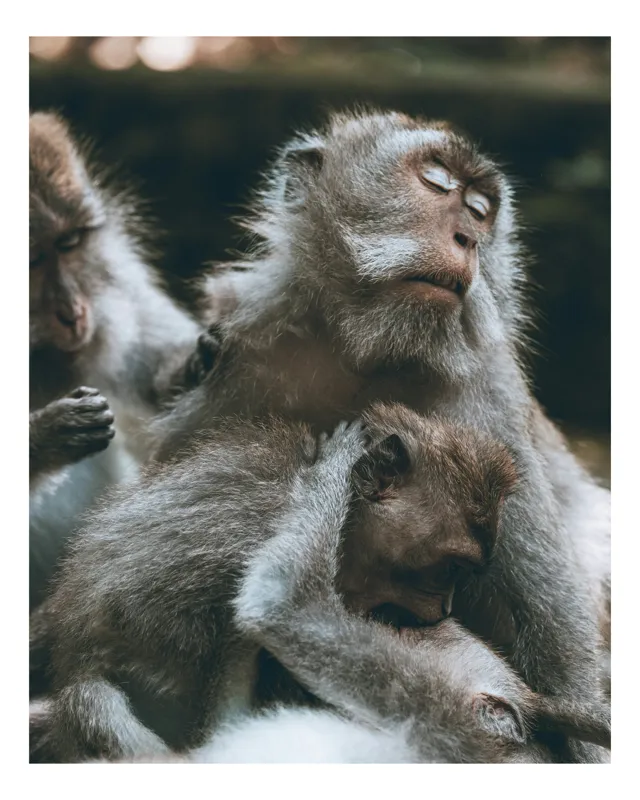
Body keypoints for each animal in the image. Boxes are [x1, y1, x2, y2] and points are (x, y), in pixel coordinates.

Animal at [146, 109, 610, 760]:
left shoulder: (485, 395)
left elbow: (555, 643)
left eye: (481, 209)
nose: (468, 239)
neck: (368, 348)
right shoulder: (240, 362)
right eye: (437, 181)